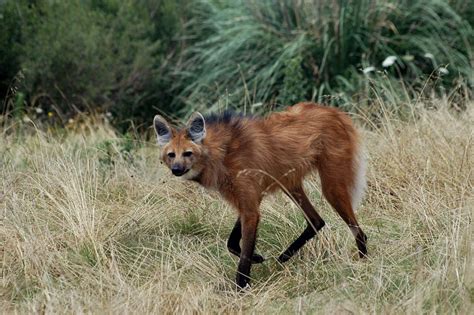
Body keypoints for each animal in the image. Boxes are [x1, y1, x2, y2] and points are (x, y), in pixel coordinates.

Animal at [154, 102, 368, 290]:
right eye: (171, 155)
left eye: (188, 153)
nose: (176, 170)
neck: (221, 154)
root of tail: (334, 111)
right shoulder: (249, 199)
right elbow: (232, 243)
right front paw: (257, 259)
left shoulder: (250, 204)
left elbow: (243, 255)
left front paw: (242, 289)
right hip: (289, 183)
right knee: (316, 221)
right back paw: (284, 257)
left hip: (331, 187)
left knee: (358, 232)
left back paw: (363, 263)